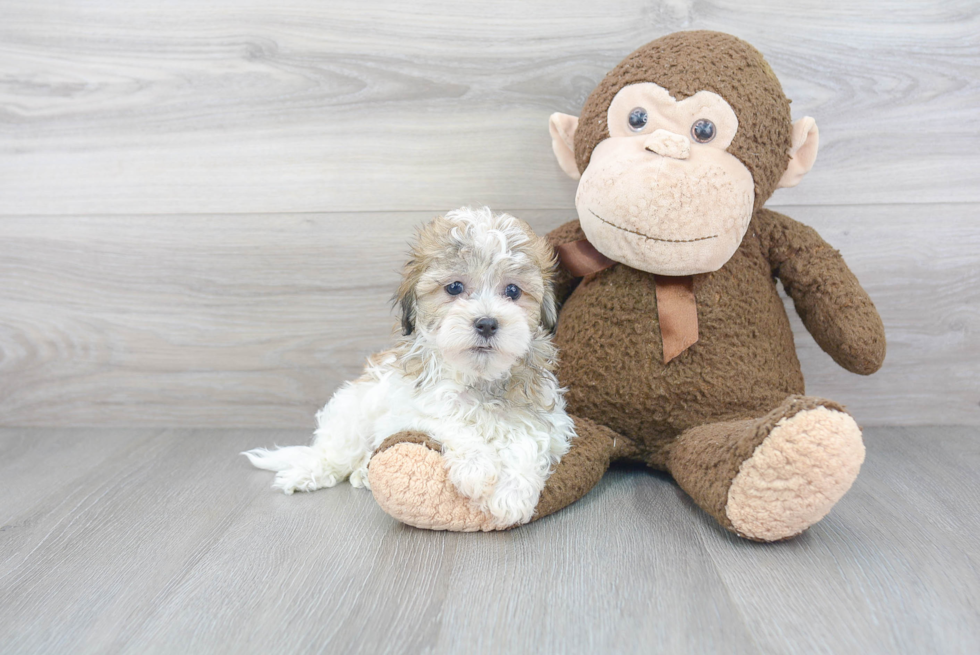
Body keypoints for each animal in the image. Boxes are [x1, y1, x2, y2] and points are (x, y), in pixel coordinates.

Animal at [245, 208, 580, 532]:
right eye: (454, 287)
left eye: (512, 291)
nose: (486, 323)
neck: (478, 378)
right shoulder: (411, 407)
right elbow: (449, 421)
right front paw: (477, 466)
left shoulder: (550, 419)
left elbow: (528, 438)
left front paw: (512, 494)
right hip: (350, 412)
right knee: (335, 455)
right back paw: (309, 473)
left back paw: (362, 474)